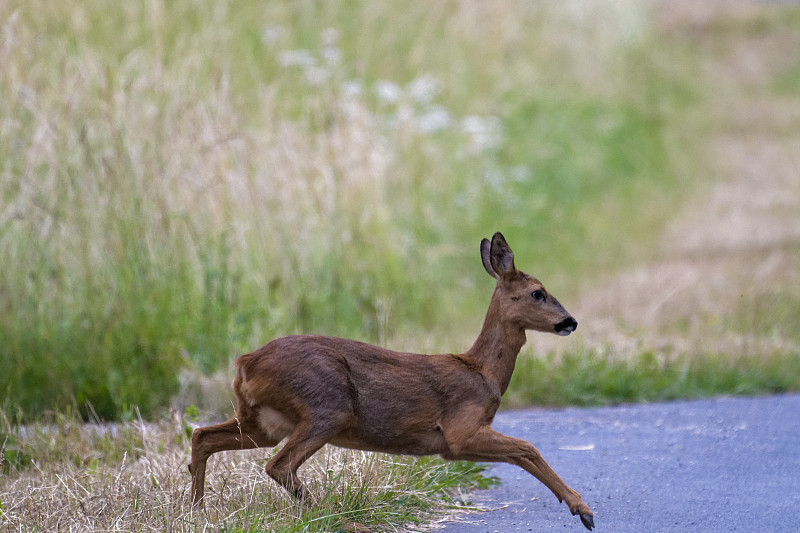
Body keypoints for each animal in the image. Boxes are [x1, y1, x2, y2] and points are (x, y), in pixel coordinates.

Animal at [189, 232, 592, 528]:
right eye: (538, 292)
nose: (570, 321)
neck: (482, 372)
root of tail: (245, 363)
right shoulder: (461, 430)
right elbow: (528, 447)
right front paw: (583, 510)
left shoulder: (455, 443)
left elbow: (522, 452)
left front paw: (578, 507)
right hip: (327, 407)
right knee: (278, 464)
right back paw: (340, 519)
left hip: (264, 420)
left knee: (203, 435)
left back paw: (196, 511)